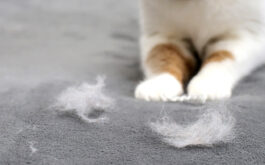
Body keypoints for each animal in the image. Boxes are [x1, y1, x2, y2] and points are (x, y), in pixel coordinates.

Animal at [135, 0, 264, 101]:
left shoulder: (244, 37)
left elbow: (223, 57)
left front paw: (208, 83)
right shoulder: (161, 36)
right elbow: (160, 57)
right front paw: (159, 83)